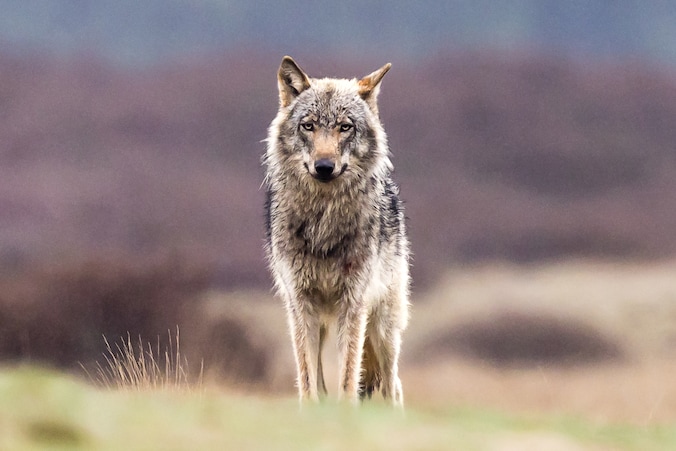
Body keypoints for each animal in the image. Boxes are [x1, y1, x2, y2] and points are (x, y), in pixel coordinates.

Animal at [263, 56, 410, 407]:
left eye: (345, 127)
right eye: (308, 125)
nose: (324, 166)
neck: (323, 222)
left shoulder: (353, 304)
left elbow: (348, 375)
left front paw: (346, 413)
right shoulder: (300, 303)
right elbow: (307, 379)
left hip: (383, 329)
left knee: (392, 385)